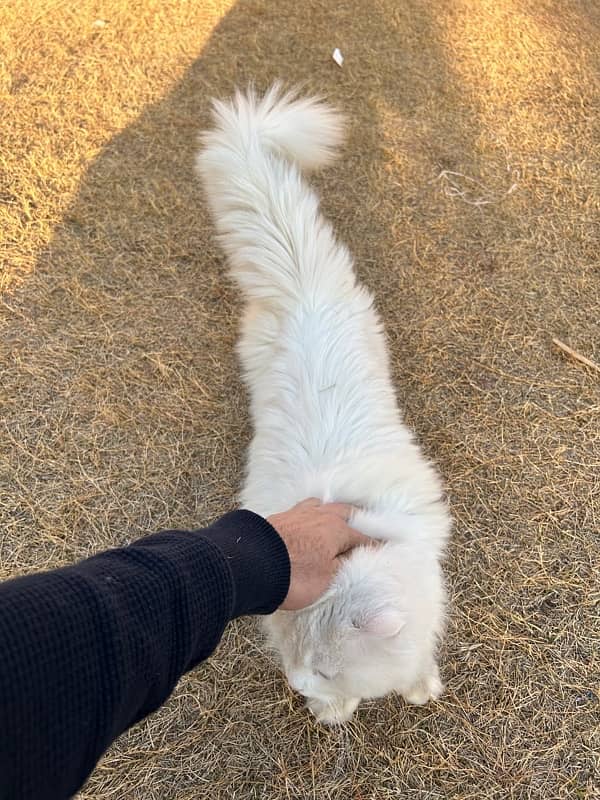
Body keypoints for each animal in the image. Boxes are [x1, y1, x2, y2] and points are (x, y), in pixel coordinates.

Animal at [197, 84, 450, 720]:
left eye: (326, 666)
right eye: (293, 652)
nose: (296, 683)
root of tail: (302, 286)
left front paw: (418, 685)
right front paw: (335, 711)